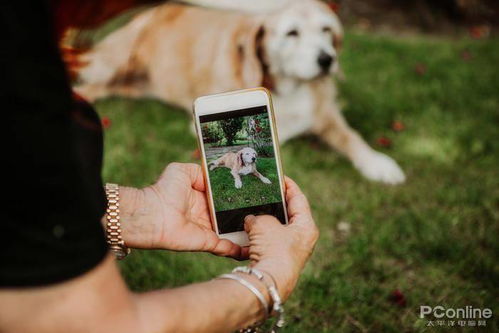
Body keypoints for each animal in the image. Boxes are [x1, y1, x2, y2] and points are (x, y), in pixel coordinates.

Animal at [77, 0, 406, 184]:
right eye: (292, 33)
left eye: (326, 30)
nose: (327, 60)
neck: (286, 83)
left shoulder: (326, 113)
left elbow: (351, 137)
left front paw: (377, 162)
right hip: (115, 61)